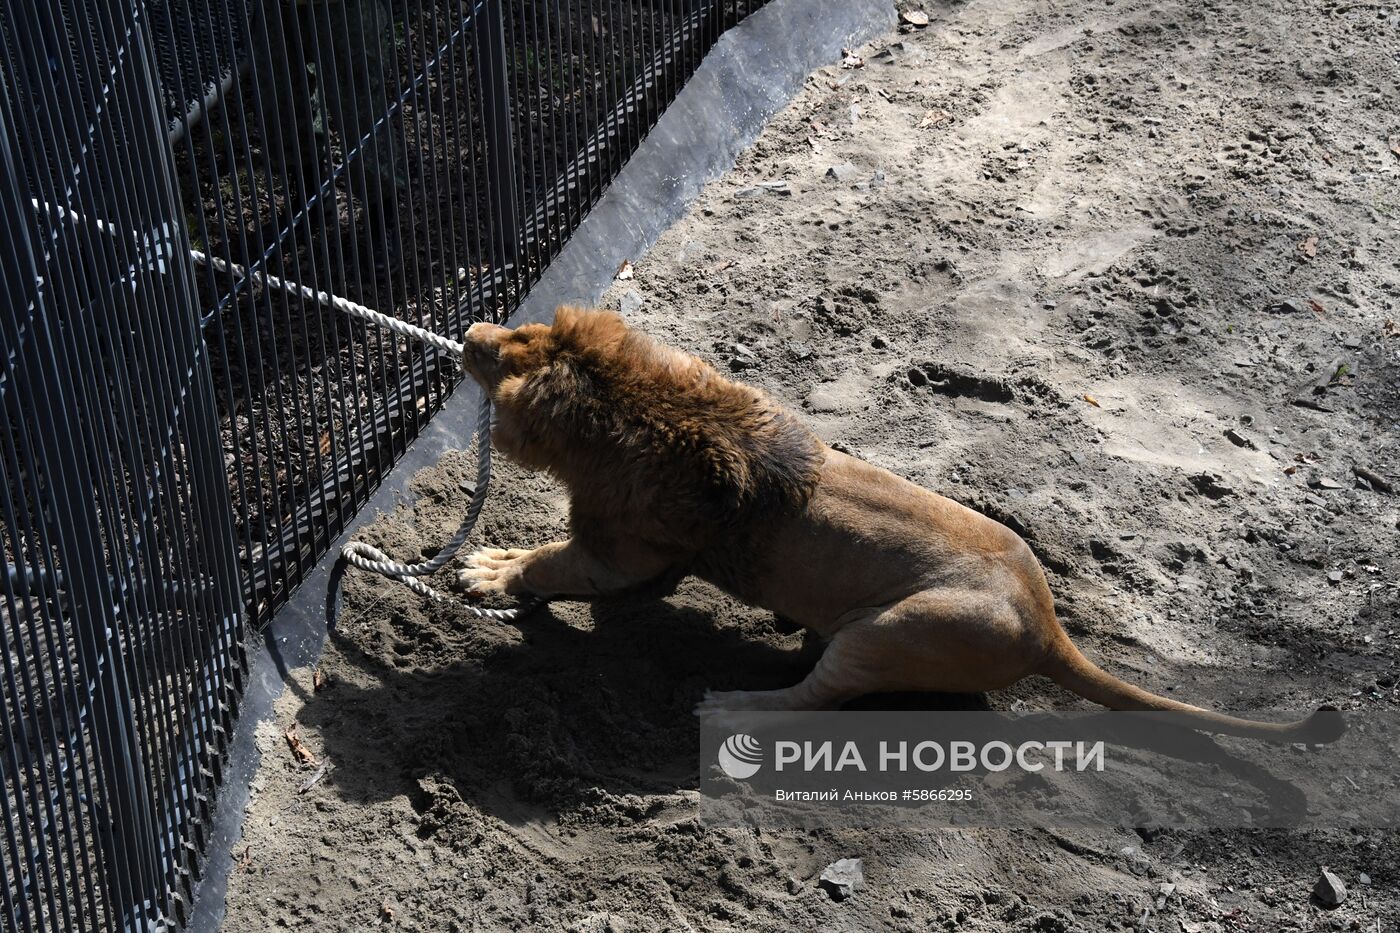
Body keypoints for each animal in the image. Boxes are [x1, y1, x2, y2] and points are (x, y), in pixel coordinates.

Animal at [459, 305, 1344, 739]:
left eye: (507, 352)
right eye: (519, 331)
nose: (469, 331)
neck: (635, 406)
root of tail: (1046, 625)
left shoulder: (628, 554)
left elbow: (552, 560)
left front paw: (489, 570)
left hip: (891, 631)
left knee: (813, 703)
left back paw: (731, 705)